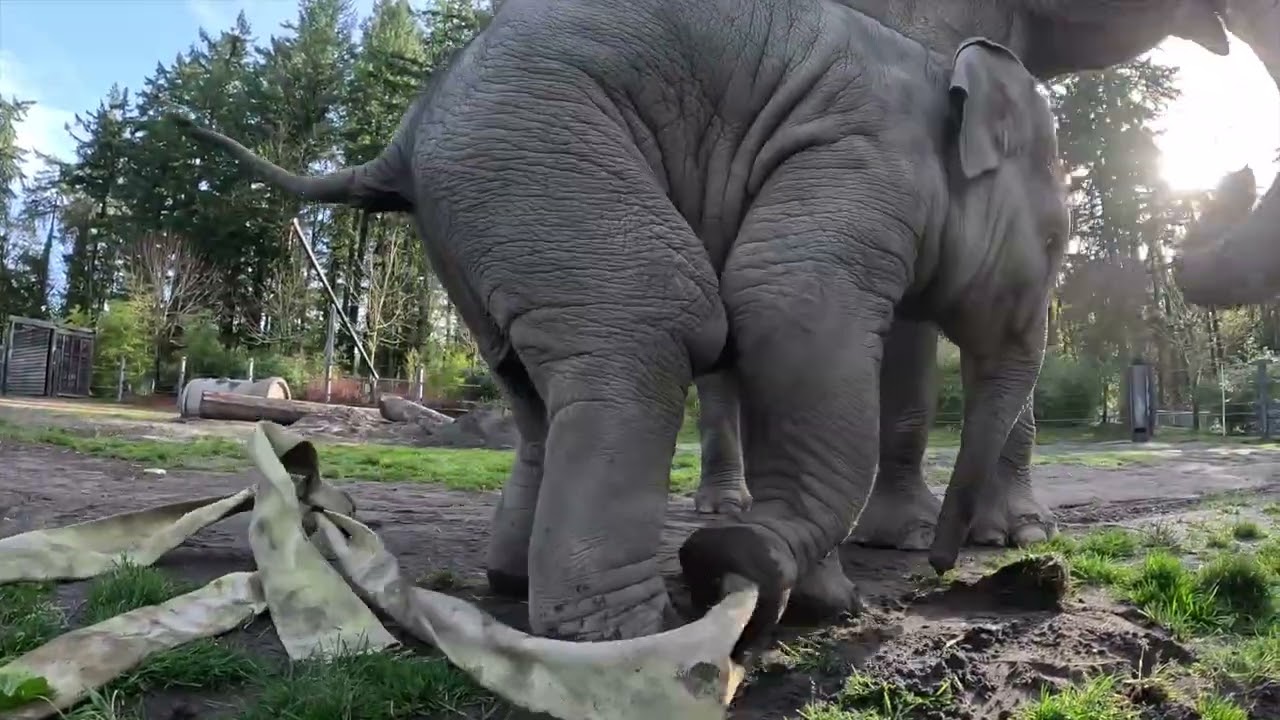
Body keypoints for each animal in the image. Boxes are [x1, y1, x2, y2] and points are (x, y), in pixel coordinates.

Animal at [174, 0, 1068, 653]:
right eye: (1060, 248)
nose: (943, 569)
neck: (940, 73)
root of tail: (403, 136)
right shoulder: (856, 163)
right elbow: (785, 313)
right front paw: (753, 571)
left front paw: (817, 598)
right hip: (544, 158)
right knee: (657, 330)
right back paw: (636, 642)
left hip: (485, 216)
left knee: (536, 388)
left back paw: (514, 583)